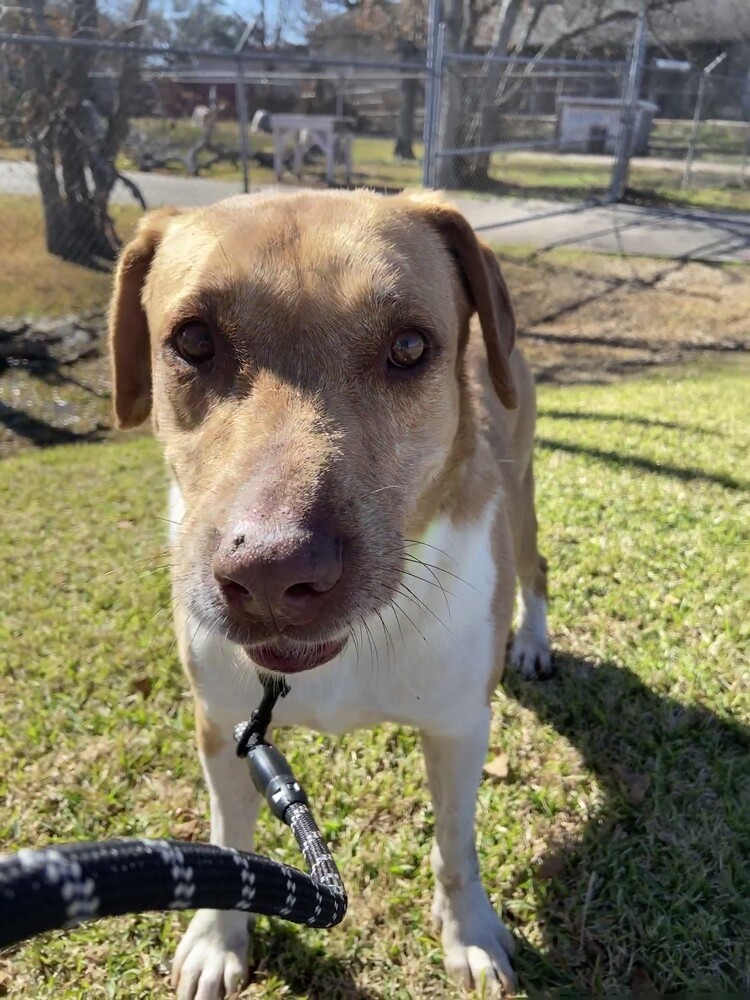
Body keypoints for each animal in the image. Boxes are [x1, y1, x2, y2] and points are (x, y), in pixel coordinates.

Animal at [107, 189, 552, 1000]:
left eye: (409, 347)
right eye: (192, 340)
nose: (273, 573)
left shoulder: (458, 726)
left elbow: (455, 844)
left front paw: (470, 933)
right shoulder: (221, 725)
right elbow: (228, 836)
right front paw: (217, 939)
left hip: (526, 492)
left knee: (538, 567)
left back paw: (534, 641)